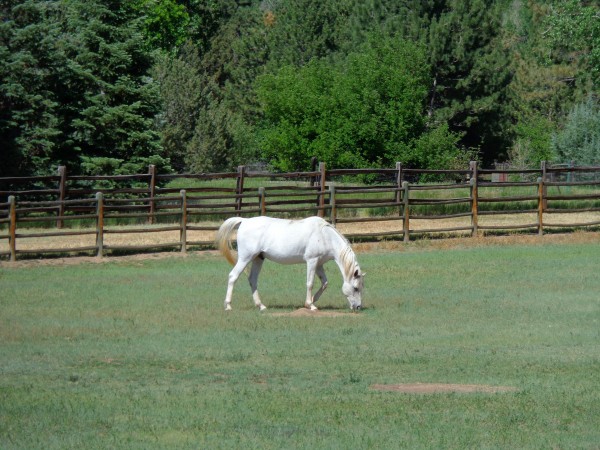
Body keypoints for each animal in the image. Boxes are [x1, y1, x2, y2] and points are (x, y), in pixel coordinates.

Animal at [216, 216, 366, 312]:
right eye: (355, 288)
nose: (358, 307)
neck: (324, 235)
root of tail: (245, 221)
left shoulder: (319, 264)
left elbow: (324, 283)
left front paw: (312, 301)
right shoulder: (312, 261)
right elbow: (310, 283)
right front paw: (310, 305)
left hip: (258, 259)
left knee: (252, 280)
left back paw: (261, 306)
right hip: (245, 258)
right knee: (233, 276)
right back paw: (228, 306)